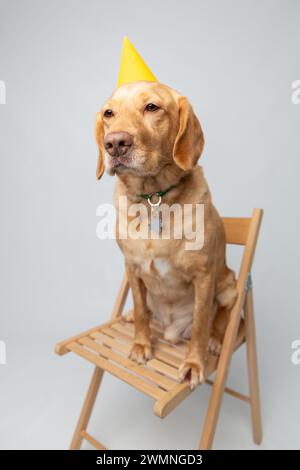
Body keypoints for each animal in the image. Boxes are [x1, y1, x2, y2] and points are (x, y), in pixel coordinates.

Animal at [95, 81, 237, 390]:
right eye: (109, 113)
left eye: (152, 107)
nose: (114, 143)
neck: (153, 197)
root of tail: (172, 330)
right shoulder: (132, 268)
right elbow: (140, 309)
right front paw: (141, 345)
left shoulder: (204, 276)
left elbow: (200, 324)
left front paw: (194, 364)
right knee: (146, 312)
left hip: (230, 285)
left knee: (220, 316)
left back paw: (216, 341)